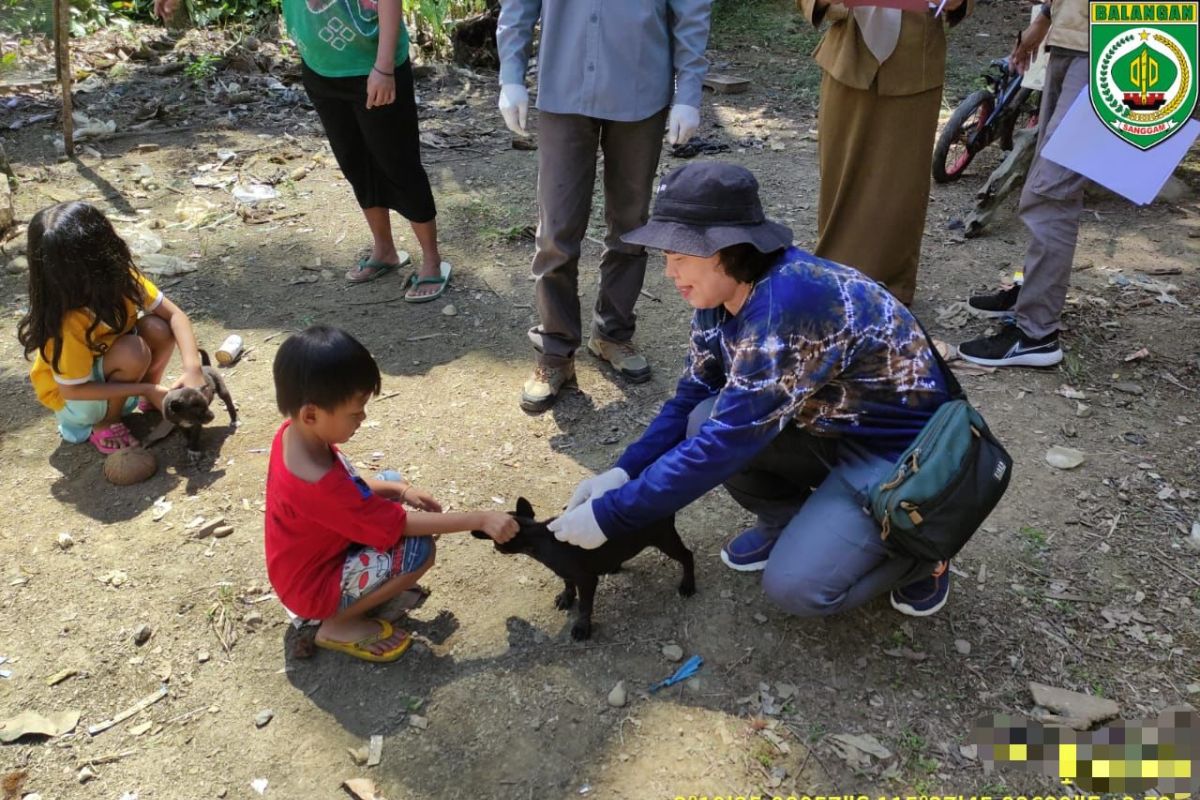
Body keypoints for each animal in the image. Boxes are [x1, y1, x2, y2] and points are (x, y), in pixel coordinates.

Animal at [468, 496, 696, 642]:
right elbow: (568, 584)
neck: (537, 537)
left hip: (665, 539)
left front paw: (582, 627)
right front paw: (566, 598)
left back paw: (688, 585)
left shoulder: (586, 580)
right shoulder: (566, 573)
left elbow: (585, 607)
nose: (496, 548)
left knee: (687, 556)